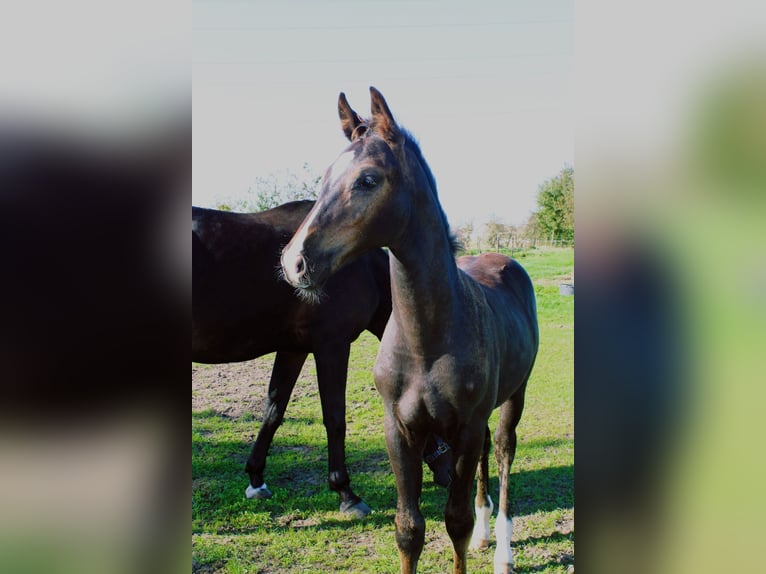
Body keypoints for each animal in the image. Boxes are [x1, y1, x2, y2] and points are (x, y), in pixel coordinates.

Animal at [195, 201, 452, 516]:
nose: (450, 475)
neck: (358, 267)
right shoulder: (332, 346)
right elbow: (335, 417)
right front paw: (346, 493)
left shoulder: (293, 350)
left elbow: (273, 411)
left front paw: (256, 479)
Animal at [282, 90, 540, 574]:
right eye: (325, 176)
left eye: (367, 179)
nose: (294, 262)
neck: (426, 343)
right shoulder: (400, 430)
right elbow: (408, 528)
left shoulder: (464, 427)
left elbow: (454, 521)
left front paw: (476, 537)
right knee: (486, 457)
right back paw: (486, 535)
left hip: (514, 396)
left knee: (502, 450)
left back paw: (503, 550)